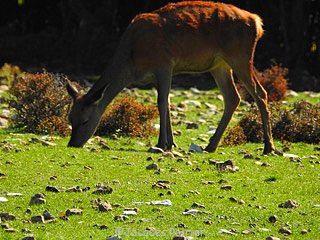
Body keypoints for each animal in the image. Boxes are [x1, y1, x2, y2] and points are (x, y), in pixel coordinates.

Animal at [67, 0, 276, 155]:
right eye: (70, 118)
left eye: (85, 120)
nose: (72, 144)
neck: (133, 60)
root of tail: (257, 23)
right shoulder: (157, 75)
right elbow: (166, 102)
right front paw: (171, 143)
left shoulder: (164, 64)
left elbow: (161, 102)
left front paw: (161, 144)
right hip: (220, 65)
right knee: (233, 97)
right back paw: (211, 145)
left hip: (240, 56)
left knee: (260, 93)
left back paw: (268, 147)